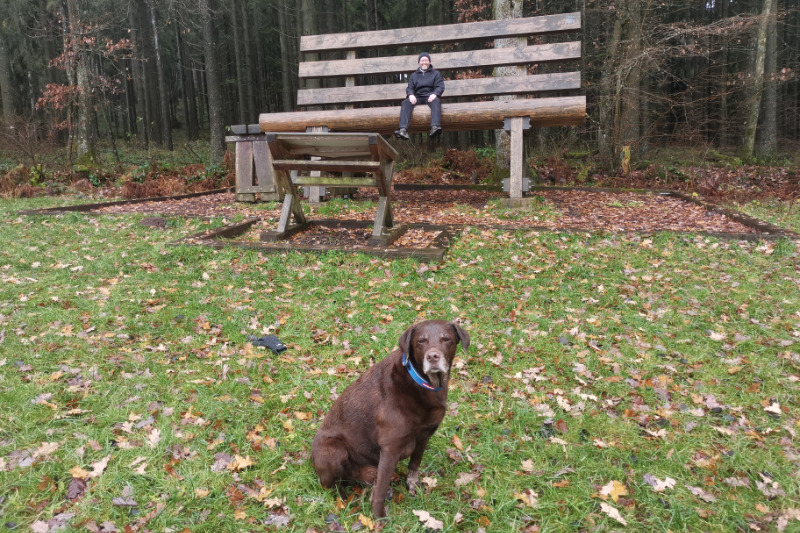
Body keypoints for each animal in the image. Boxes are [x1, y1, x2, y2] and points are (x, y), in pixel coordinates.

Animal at [308, 318, 468, 516]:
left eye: (446, 339)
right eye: (421, 341)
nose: (433, 357)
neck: (422, 384)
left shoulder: (425, 435)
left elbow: (414, 464)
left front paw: (412, 485)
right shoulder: (390, 448)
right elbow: (381, 490)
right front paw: (378, 517)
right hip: (334, 450)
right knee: (334, 485)